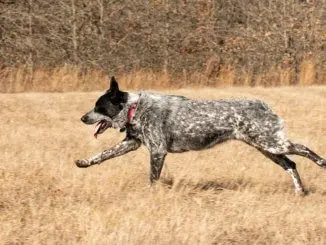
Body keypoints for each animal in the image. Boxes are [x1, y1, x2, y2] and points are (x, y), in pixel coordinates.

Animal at [75, 76, 324, 193]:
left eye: (98, 106)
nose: (82, 118)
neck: (135, 108)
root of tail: (264, 106)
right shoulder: (131, 143)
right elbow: (103, 154)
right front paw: (84, 162)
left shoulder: (157, 151)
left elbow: (153, 178)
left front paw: (149, 194)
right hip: (266, 147)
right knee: (291, 164)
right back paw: (300, 191)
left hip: (272, 144)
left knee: (303, 149)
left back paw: (322, 162)